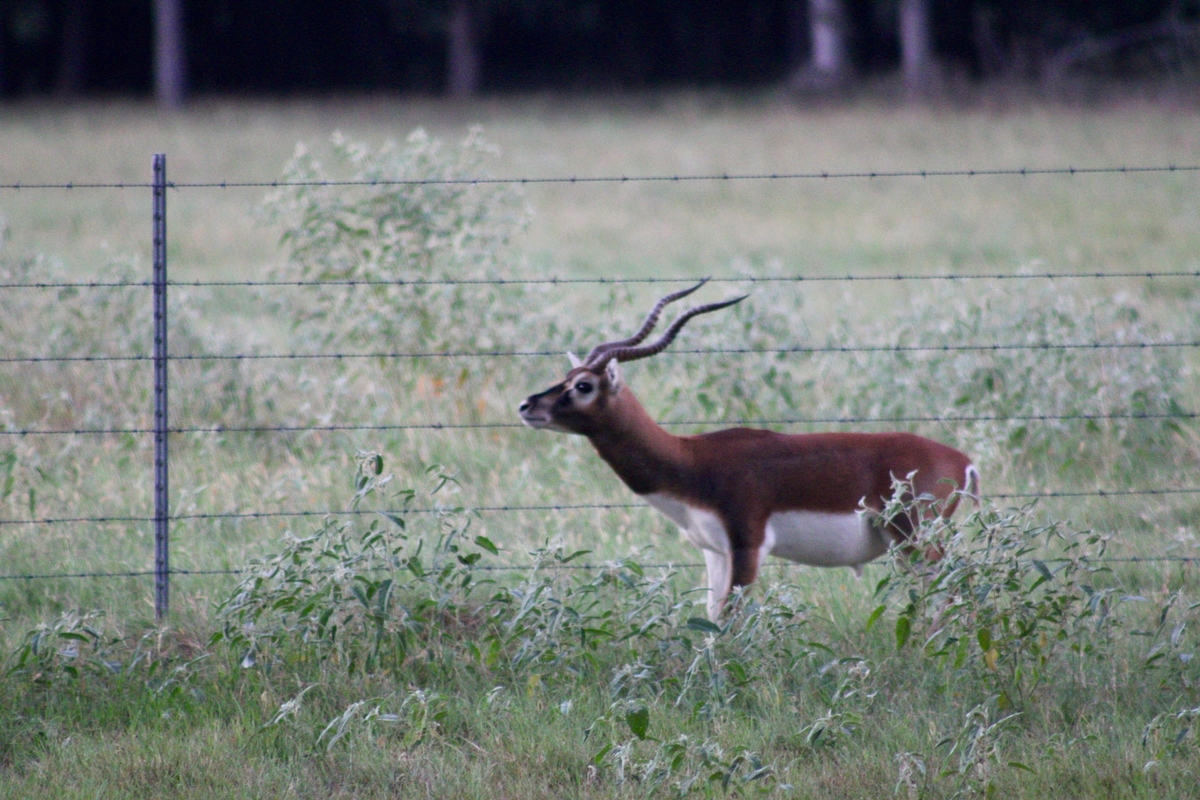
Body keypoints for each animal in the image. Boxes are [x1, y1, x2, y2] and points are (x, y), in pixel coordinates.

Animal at [518, 282, 980, 621]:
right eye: (567, 377)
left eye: (583, 386)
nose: (527, 406)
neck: (690, 462)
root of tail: (962, 460)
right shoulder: (713, 552)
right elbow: (711, 620)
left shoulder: (748, 545)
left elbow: (730, 620)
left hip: (917, 541)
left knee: (953, 591)